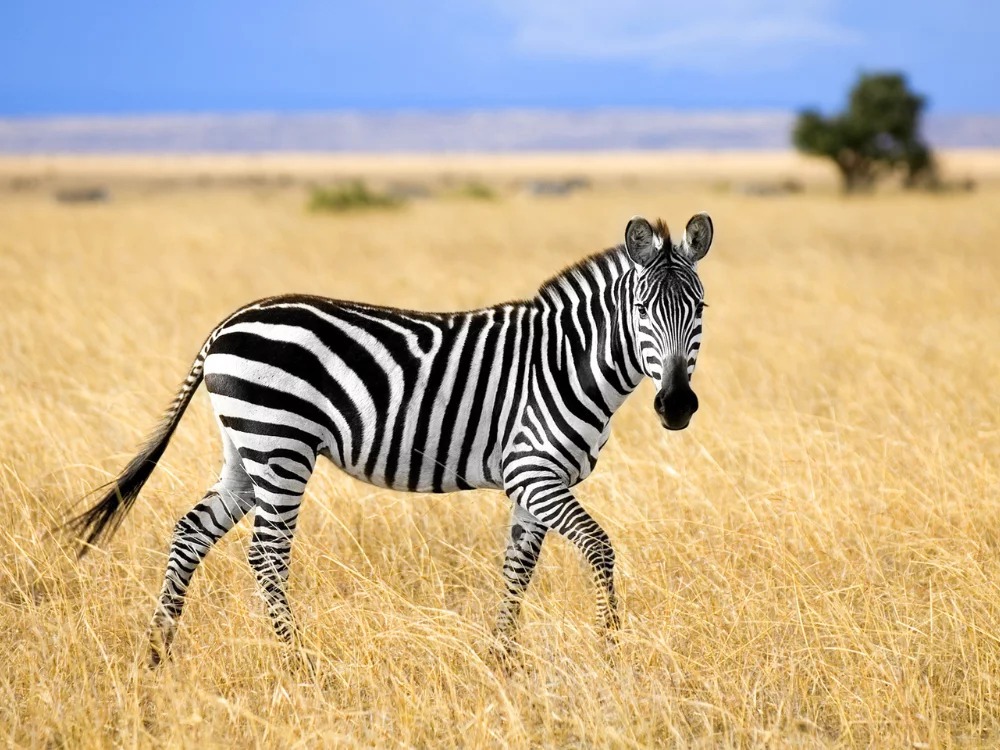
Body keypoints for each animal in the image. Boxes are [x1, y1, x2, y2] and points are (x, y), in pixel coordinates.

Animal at [66, 213, 714, 665]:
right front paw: (612, 653)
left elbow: (517, 569)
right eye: (642, 309)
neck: (564, 361)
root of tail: (227, 323)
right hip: (281, 445)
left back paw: (158, 651)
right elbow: (600, 549)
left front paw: (502, 661)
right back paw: (298, 663)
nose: (678, 406)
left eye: (700, 309)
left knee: (190, 532)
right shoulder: (532, 470)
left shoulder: (534, 484)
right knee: (266, 554)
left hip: (245, 451)